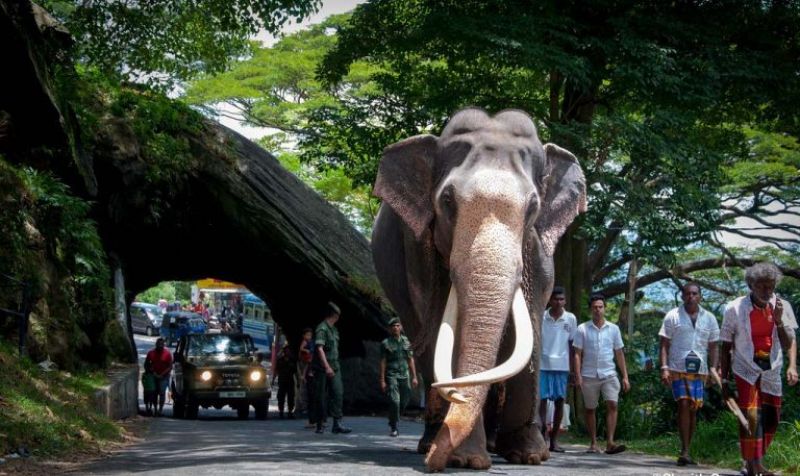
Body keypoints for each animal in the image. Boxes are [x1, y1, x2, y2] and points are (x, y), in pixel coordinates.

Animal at [371, 108, 586, 471]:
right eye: (447, 200)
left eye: (533, 206)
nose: (433, 462)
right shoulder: (419, 250)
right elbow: (444, 329)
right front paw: (468, 460)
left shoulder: (539, 253)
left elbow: (530, 328)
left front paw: (530, 456)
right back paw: (432, 441)